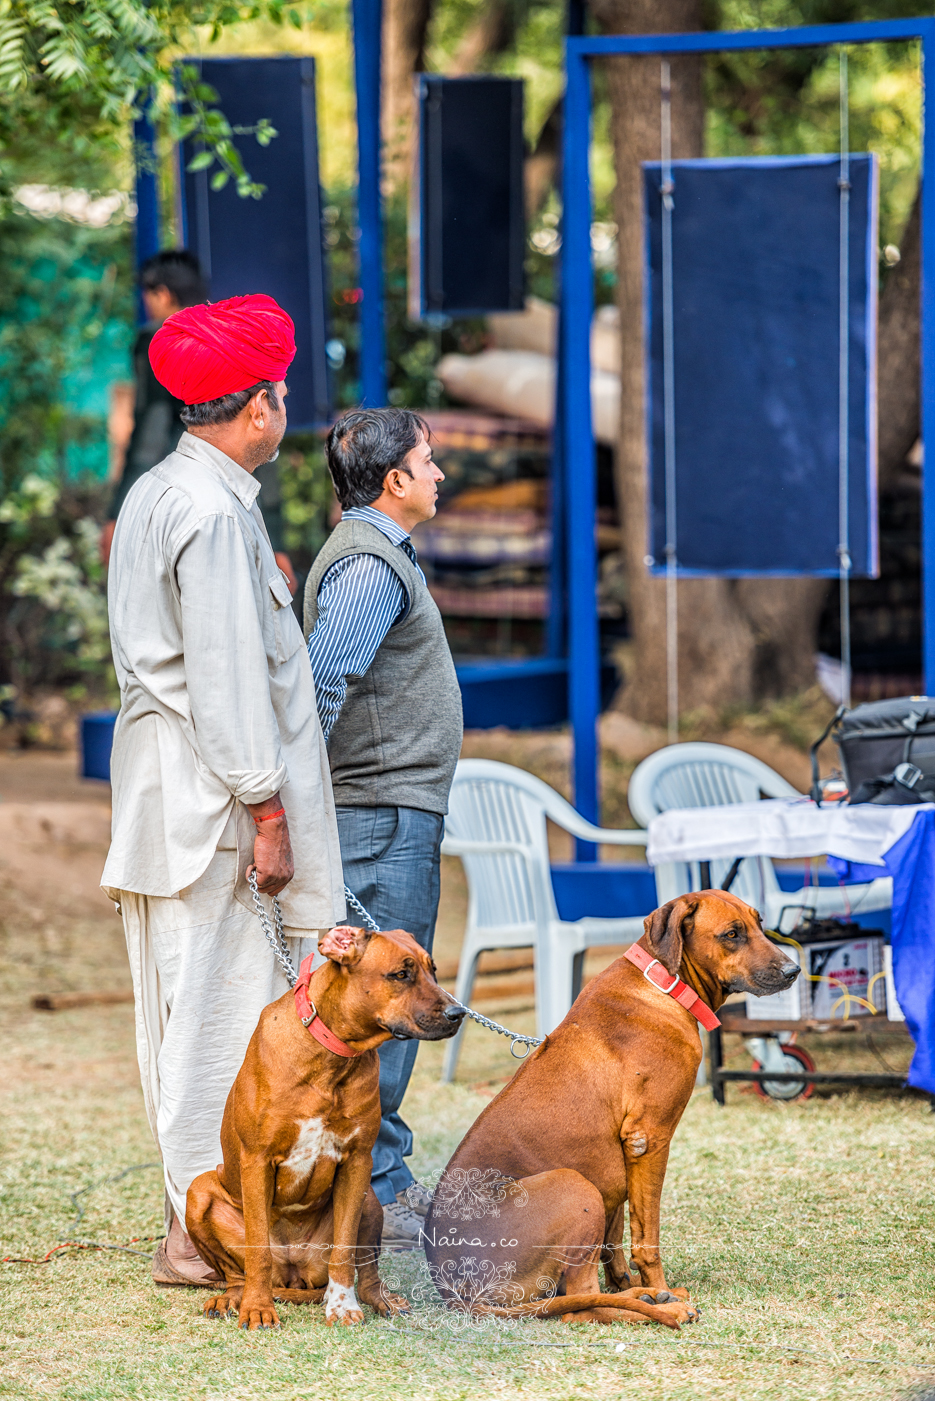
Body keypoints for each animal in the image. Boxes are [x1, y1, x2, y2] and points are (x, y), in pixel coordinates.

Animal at [186, 924, 465, 1328]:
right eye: (401, 974)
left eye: (434, 971)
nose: (459, 1012)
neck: (333, 1056)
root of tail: (294, 1271)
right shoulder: (257, 1161)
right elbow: (258, 1251)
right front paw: (257, 1307)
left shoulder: (357, 1162)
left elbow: (345, 1251)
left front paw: (342, 1304)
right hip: (199, 1191)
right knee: (237, 1272)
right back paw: (234, 1298)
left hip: (369, 1199)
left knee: (367, 1271)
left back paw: (382, 1299)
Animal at [423, 891, 796, 1328]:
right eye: (732, 934)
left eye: (759, 924)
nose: (793, 970)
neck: (662, 983)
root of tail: (455, 1292)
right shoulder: (648, 1140)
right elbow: (646, 1237)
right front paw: (655, 1283)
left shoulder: (616, 1164)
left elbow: (614, 1240)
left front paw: (627, 1283)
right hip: (574, 1185)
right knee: (579, 1304)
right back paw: (662, 1304)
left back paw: (643, 1296)